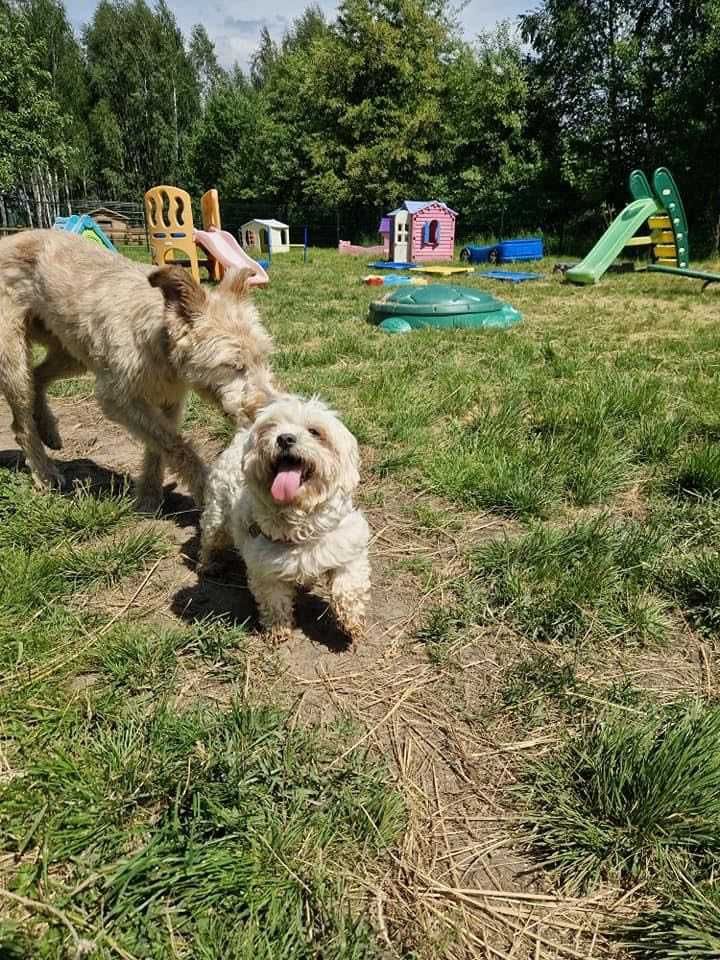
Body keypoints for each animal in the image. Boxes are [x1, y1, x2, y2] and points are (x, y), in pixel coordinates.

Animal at [0, 230, 274, 510]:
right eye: (233, 366)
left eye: (263, 359)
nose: (268, 412)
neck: (161, 345)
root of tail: (8, 240)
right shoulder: (118, 400)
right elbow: (174, 445)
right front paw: (204, 488)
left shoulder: (169, 401)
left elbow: (160, 446)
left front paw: (149, 496)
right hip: (13, 357)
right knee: (22, 421)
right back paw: (44, 472)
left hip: (70, 351)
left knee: (37, 377)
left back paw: (48, 430)